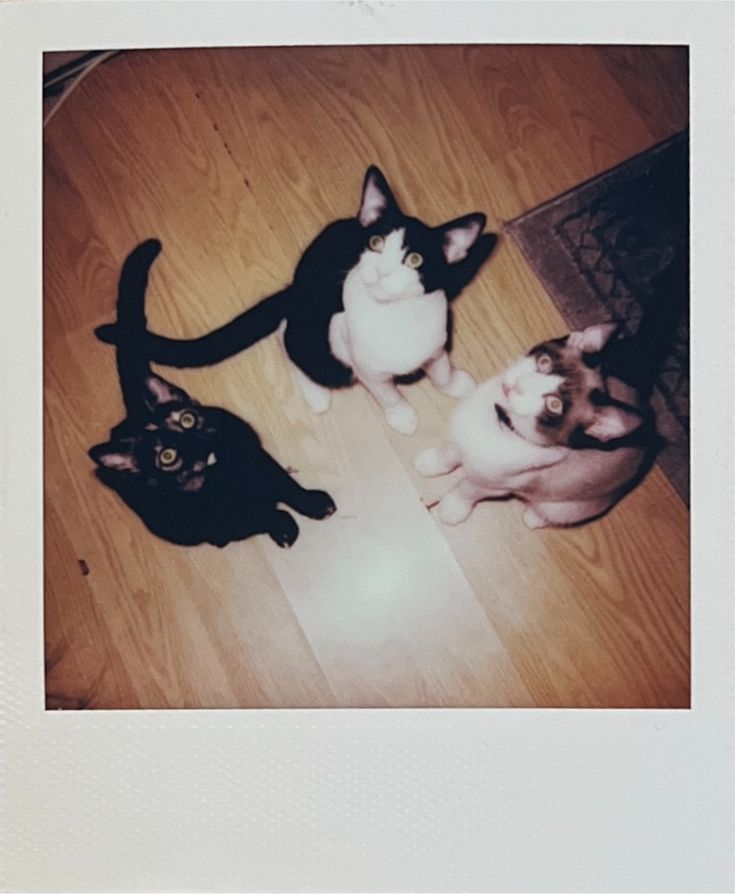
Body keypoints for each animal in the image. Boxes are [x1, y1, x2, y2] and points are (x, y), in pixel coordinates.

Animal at [88, 238, 336, 548]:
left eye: (187, 420)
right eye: (166, 457)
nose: (198, 438)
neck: (220, 470)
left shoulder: (256, 457)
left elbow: (286, 484)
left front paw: (312, 503)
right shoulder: (219, 522)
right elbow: (258, 518)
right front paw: (282, 526)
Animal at [96, 167, 500, 438]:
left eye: (415, 259)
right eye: (375, 244)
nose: (382, 271)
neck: (397, 318)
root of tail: (295, 287)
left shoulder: (436, 339)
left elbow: (440, 365)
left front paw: (454, 384)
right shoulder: (361, 361)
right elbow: (386, 392)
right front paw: (401, 415)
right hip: (320, 347)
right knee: (285, 338)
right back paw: (315, 393)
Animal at [416, 250, 688, 532]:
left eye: (554, 405)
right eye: (544, 362)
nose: (519, 384)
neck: (499, 424)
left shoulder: (492, 484)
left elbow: (466, 488)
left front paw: (452, 508)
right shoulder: (465, 443)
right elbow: (452, 452)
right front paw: (433, 462)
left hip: (567, 506)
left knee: (553, 512)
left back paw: (534, 517)